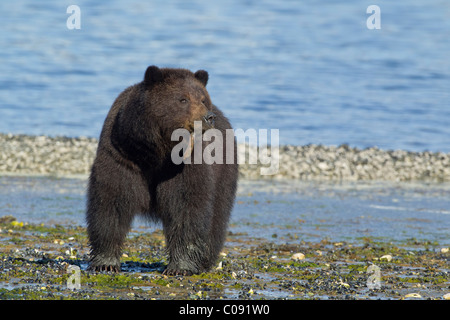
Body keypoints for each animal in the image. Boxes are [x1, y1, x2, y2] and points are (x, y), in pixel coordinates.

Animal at [85, 65, 239, 276]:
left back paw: (205, 260)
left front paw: (180, 266)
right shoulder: (122, 155)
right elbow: (111, 201)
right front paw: (105, 262)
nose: (208, 117)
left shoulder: (184, 166)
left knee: (217, 216)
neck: (155, 153)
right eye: (183, 99)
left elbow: (186, 207)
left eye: (203, 99)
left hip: (224, 172)